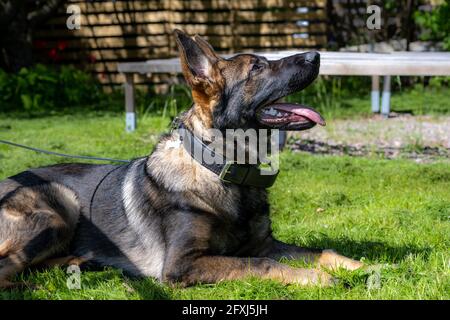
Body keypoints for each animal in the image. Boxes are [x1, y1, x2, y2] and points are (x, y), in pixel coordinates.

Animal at [0, 30, 362, 290]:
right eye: (257, 67)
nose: (317, 55)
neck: (220, 169)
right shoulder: (183, 263)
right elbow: (259, 265)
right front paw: (316, 279)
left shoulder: (264, 244)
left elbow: (321, 252)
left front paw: (360, 265)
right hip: (60, 204)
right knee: (8, 268)